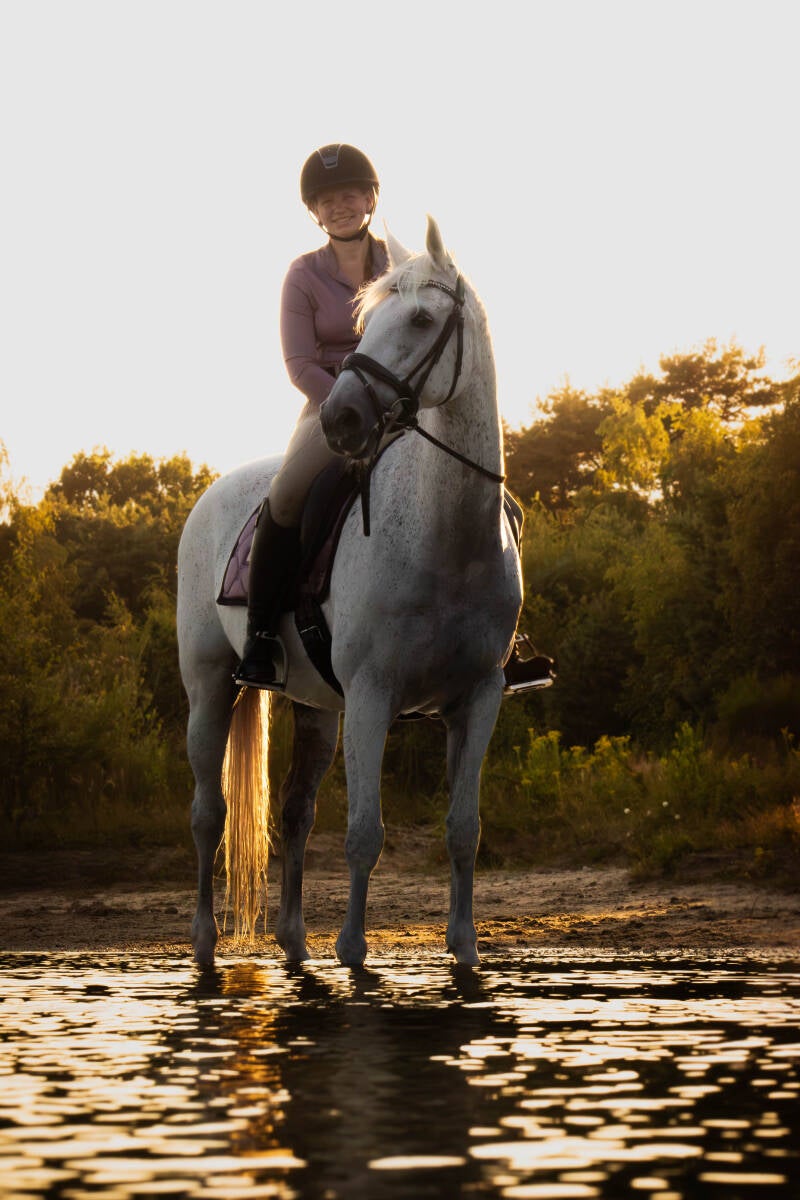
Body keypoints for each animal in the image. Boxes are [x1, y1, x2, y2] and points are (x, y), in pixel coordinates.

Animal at [177, 216, 523, 969]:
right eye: (364, 323)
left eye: (421, 319)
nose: (340, 420)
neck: (447, 539)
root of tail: (213, 491)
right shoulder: (372, 694)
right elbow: (366, 830)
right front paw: (355, 951)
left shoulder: (479, 697)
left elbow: (464, 828)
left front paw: (463, 948)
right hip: (211, 686)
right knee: (209, 814)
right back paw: (205, 941)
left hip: (315, 709)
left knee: (295, 814)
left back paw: (292, 939)